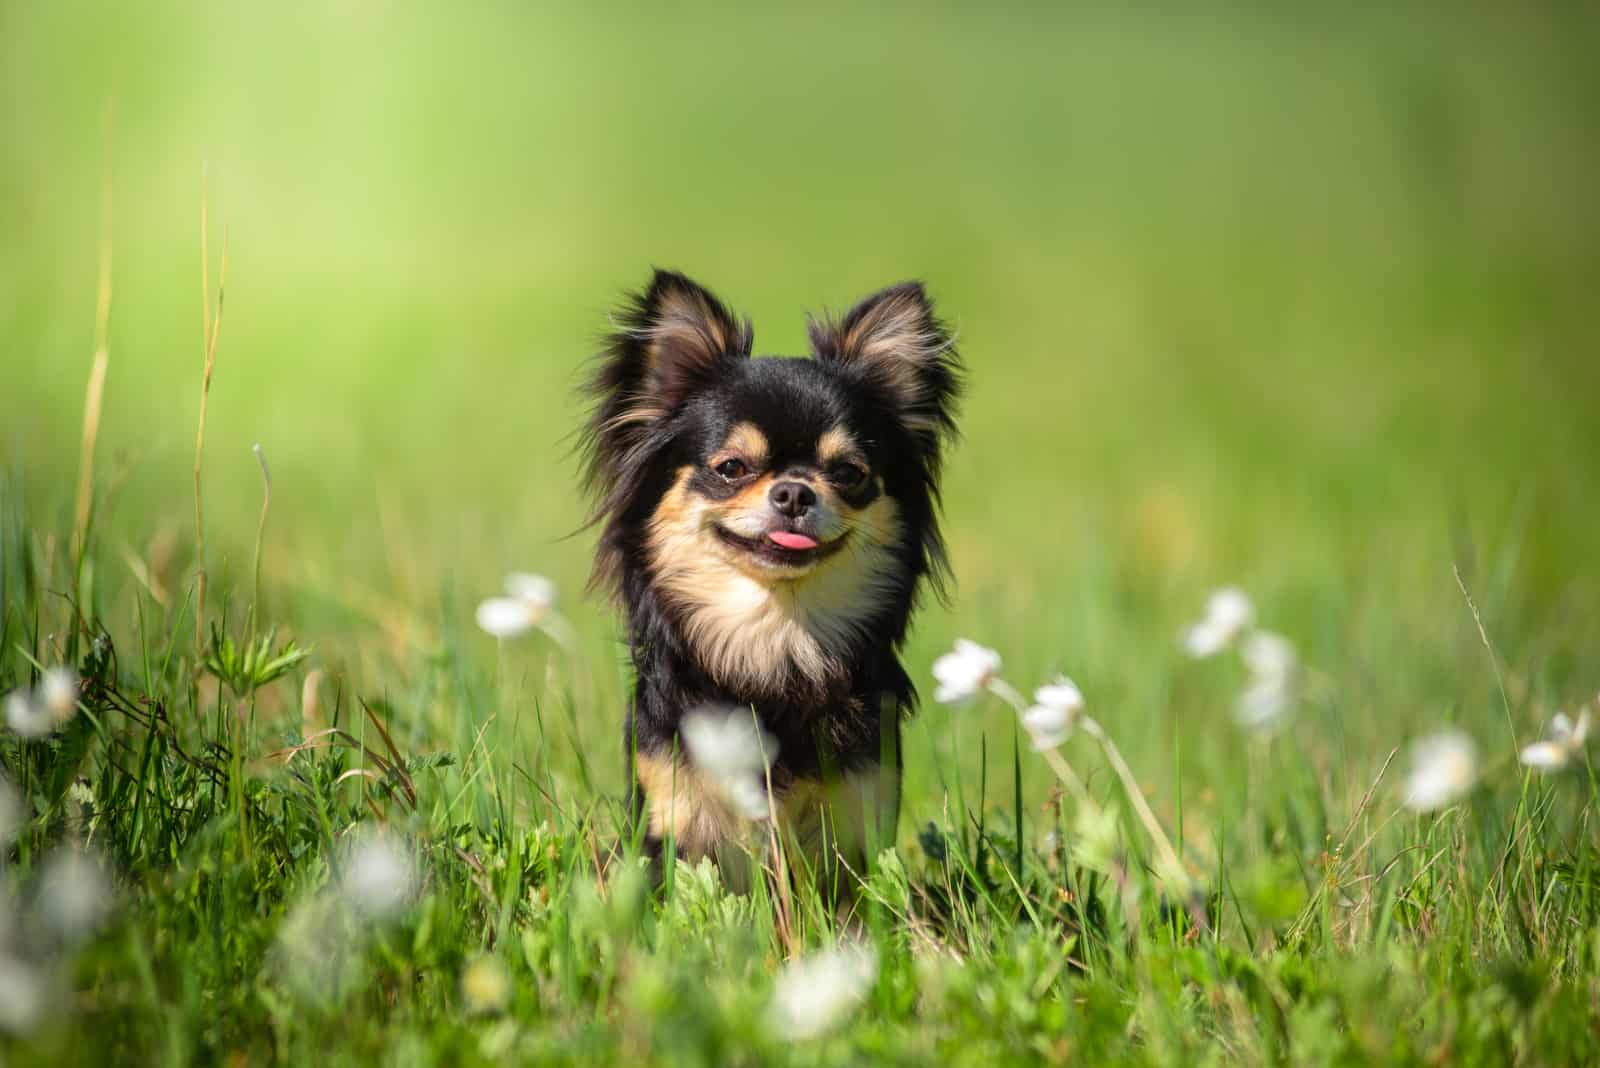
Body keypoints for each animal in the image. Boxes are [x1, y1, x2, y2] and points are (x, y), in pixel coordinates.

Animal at [585, 268, 960, 895]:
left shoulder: (856, 819)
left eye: (848, 473)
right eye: (731, 468)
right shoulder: (672, 813)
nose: (793, 492)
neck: (775, 638)